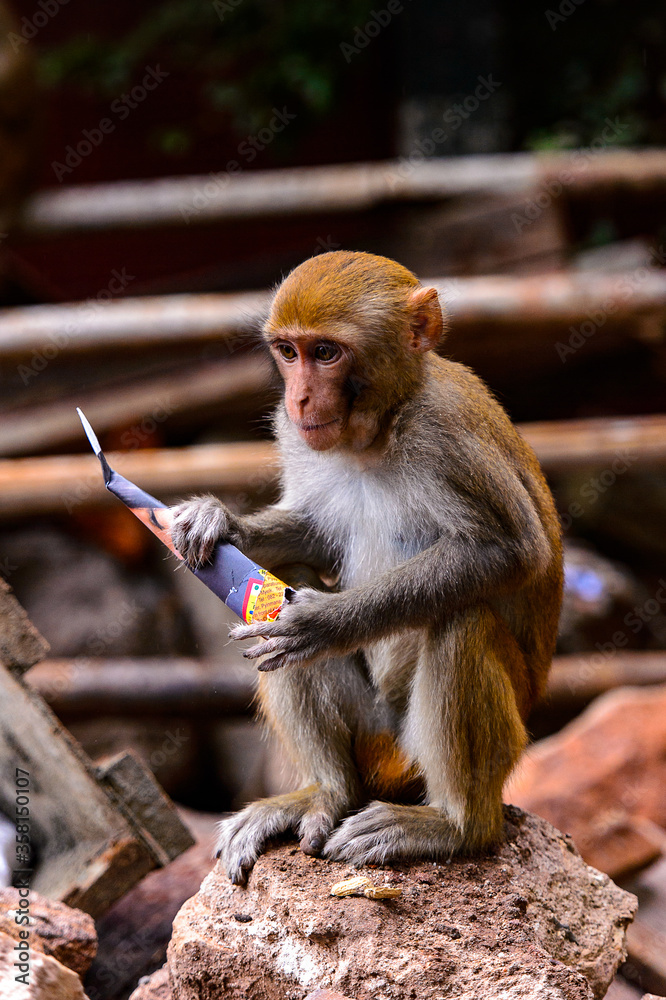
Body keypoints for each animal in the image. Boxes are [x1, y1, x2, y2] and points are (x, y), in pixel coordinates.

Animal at [171, 250, 563, 886]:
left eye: (327, 353)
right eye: (289, 352)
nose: (300, 400)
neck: (378, 430)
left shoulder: (444, 433)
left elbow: (508, 551)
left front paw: (322, 624)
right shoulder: (295, 437)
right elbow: (311, 542)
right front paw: (215, 520)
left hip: (455, 747)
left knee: (461, 619)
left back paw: (454, 825)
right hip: (374, 732)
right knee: (280, 593)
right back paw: (327, 793)